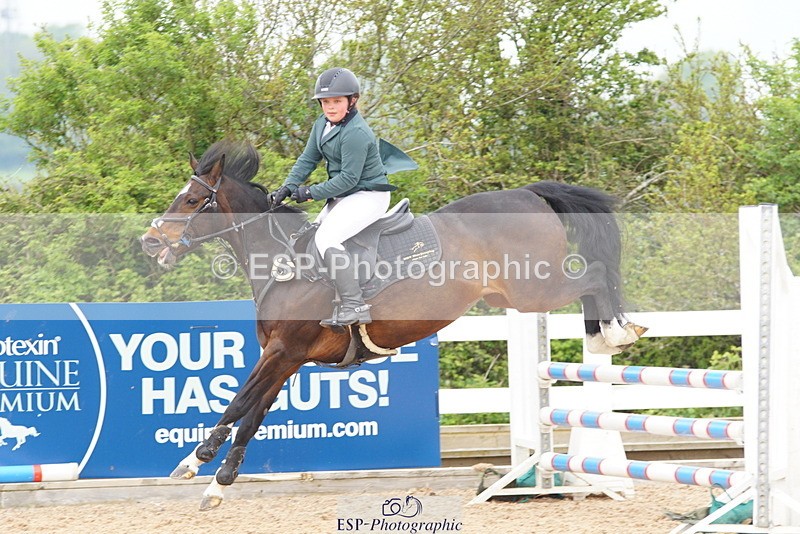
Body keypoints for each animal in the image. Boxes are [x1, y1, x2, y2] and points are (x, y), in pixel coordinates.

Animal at [140, 140, 646, 509]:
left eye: (191, 199)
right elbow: (252, 415)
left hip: (535, 290)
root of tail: (526, 193)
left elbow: (237, 403)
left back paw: (612, 335)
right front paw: (218, 484)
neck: (283, 262)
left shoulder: (283, 351)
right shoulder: (287, 358)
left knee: (595, 275)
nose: (149, 241)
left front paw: (193, 462)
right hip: (516, 297)